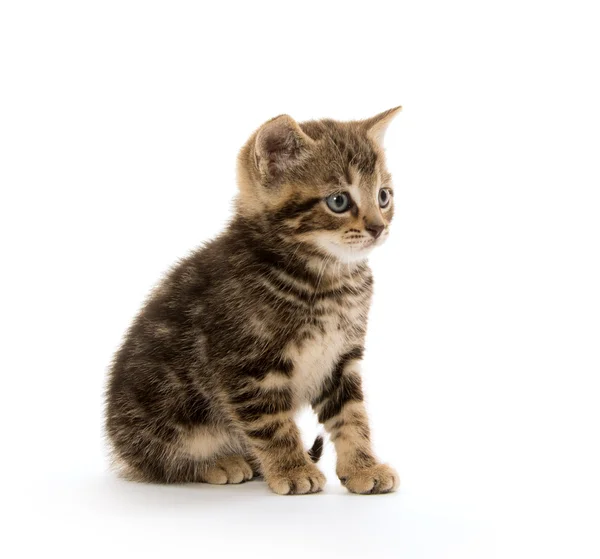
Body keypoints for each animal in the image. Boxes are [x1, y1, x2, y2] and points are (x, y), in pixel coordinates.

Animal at [105, 107, 400, 496]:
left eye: (383, 196)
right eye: (338, 201)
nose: (379, 227)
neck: (327, 280)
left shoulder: (341, 360)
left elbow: (352, 416)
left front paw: (363, 467)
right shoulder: (247, 366)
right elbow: (272, 424)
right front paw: (292, 469)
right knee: (163, 463)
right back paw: (220, 463)